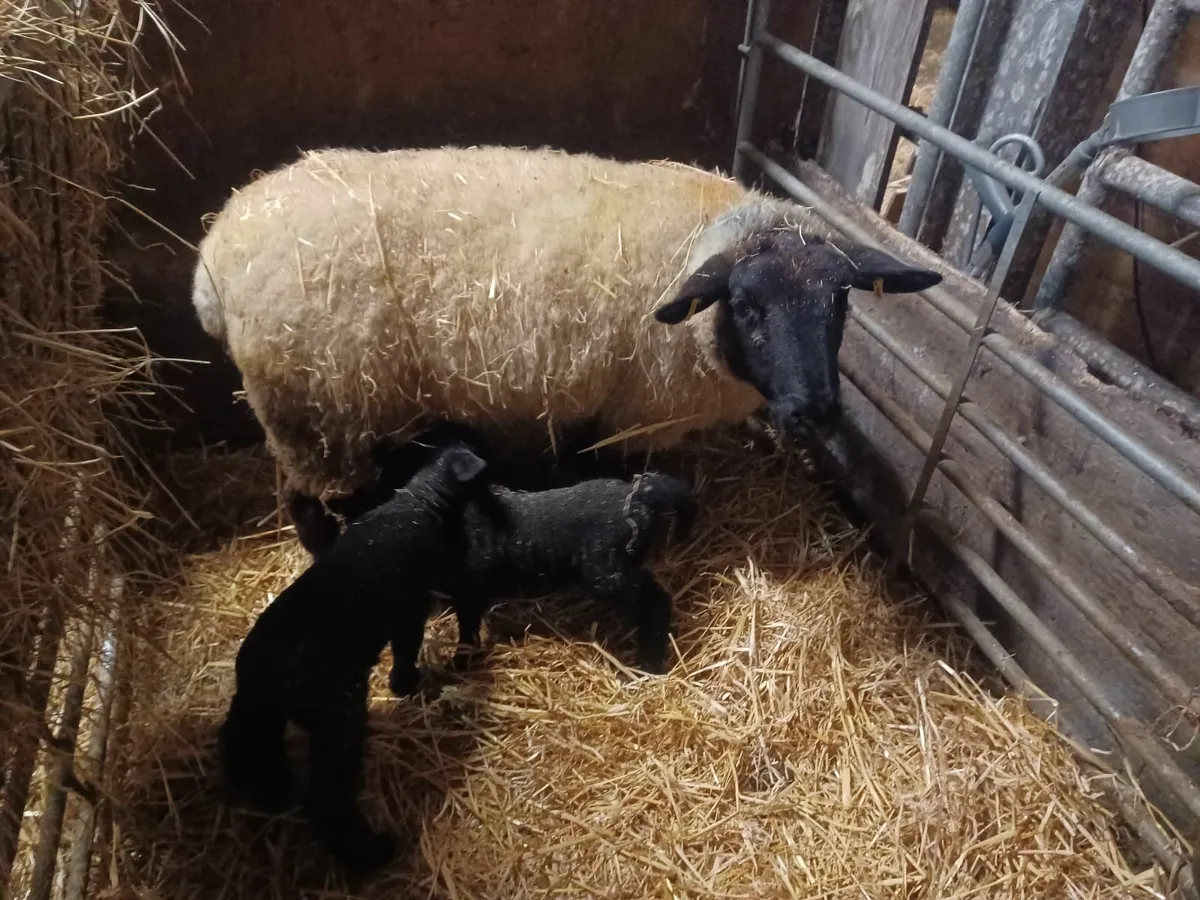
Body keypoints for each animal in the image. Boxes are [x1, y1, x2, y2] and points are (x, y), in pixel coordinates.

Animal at [191, 144, 943, 535]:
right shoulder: (637, 415)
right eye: (747, 307)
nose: (815, 411)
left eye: (840, 302)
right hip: (317, 414)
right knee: (311, 501)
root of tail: (212, 258)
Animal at [218, 438, 487, 872]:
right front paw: (404, 685)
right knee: (326, 800)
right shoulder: (409, 602)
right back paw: (370, 853)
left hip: (256, 707)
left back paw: (269, 791)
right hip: (335, 717)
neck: (417, 501)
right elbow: (407, 645)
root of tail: (273, 675)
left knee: (246, 743)